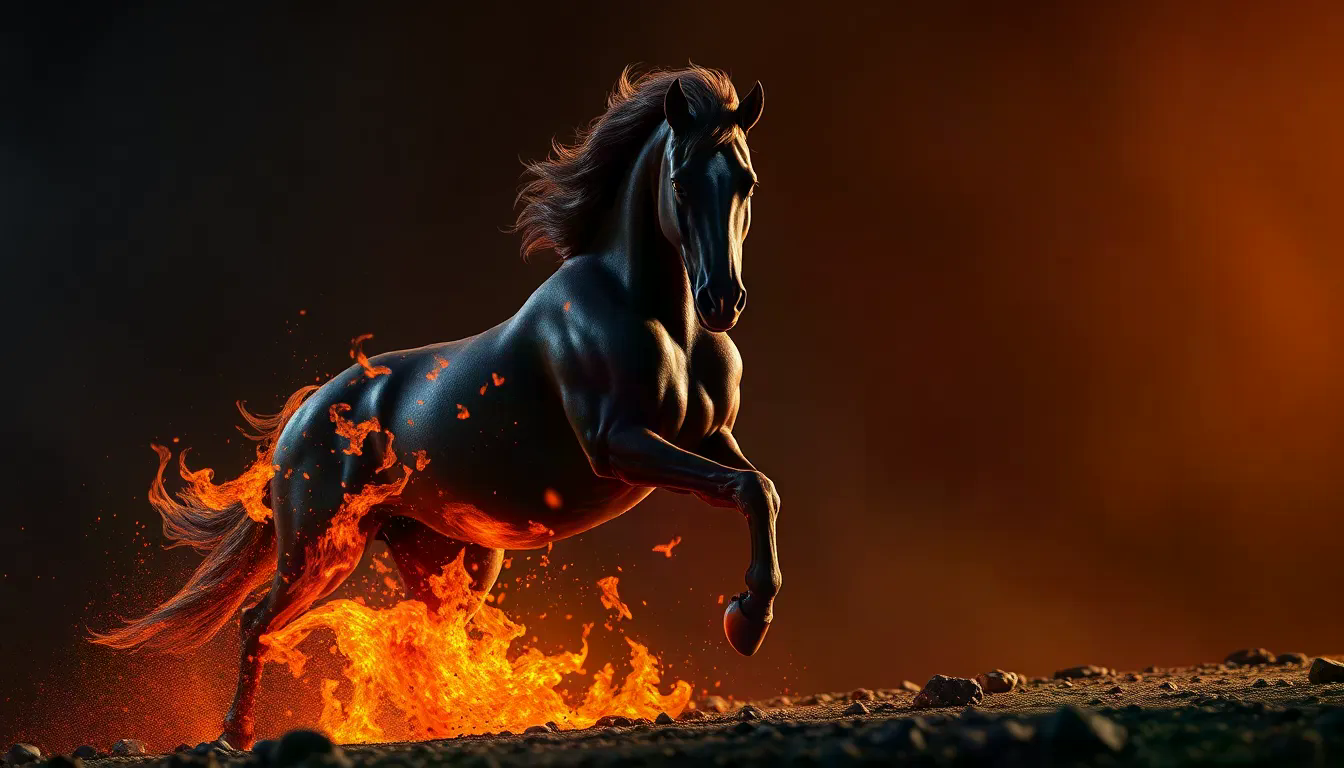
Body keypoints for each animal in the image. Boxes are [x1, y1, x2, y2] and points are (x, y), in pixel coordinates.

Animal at [93, 65, 780, 748]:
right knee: (258, 620)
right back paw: (235, 735)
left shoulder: (709, 437)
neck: (658, 317)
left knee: (419, 640)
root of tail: (302, 420)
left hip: (447, 560)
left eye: (745, 181)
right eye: (680, 181)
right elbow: (747, 487)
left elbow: (758, 489)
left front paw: (749, 615)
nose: (722, 300)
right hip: (322, 548)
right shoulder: (618, 441)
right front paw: (745, 619)